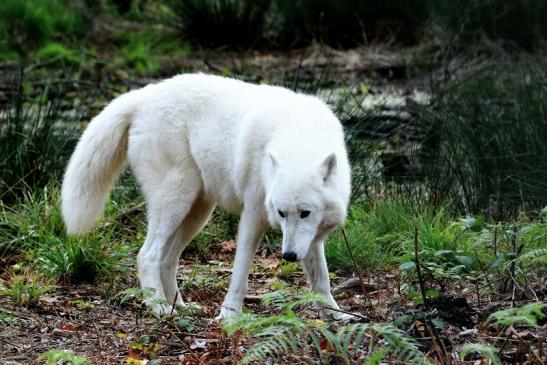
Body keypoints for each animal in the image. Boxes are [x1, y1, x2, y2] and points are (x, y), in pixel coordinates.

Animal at [60, 72, 352, 318]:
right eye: (281, 214)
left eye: (305, 213)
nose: (289, 256)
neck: (299, 137)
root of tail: (144, 94)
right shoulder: (252, 216)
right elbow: (240, 274)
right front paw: (229, 316)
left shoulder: (310, 235)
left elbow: (322, 278)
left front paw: (336, 314)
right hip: (177, 199)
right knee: (147, 255)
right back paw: (159, 307)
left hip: (197, 212)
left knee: (167, 260)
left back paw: (180, 305)